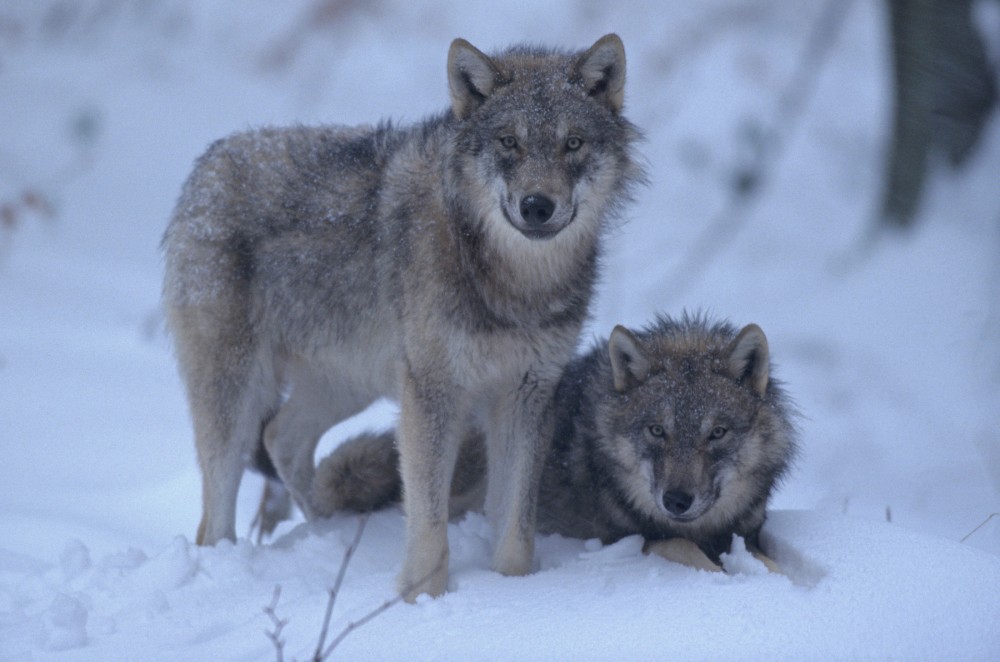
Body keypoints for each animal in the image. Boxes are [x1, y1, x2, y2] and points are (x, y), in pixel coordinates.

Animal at [160, 35, 644, 600]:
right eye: (509, 142)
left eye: (573, 143)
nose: (537, 206)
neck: (511, 282)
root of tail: (210, 159)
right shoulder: (433, 392)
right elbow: (429, 516)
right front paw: (422, 599)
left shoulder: (527, 393)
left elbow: (516, 523)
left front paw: (510, 588)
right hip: (239, 393)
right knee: (216, 513)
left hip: (349, 383)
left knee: (283, 437)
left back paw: (330, 532)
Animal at [312, 316, 796, 572]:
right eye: (657, 431)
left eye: (717, 433)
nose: (676, 500)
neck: (704, 526)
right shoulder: (634, 536)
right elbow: (688, 551)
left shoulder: (748, 532)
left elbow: (769, 562)